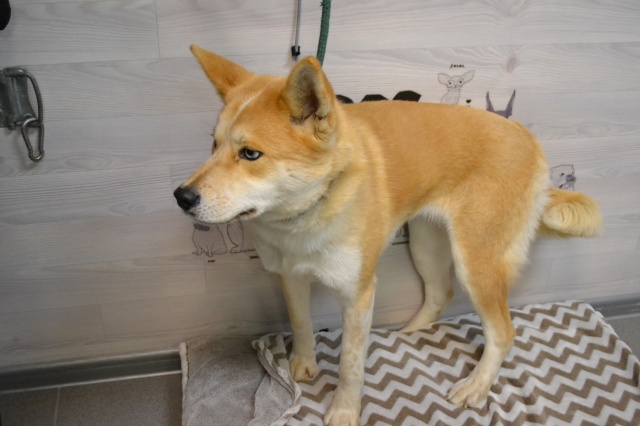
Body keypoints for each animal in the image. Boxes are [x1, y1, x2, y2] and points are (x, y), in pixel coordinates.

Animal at [174, 46, 602, 425]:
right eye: (213, 144)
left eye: (250, 154)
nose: (181, 196)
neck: (304, 219)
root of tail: (529, 139)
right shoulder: (290, 275)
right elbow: (300, 323)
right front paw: (302, 364)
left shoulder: (359, 295)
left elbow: (351, 364)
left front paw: (344, 412)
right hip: (427, 245)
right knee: (440, 295)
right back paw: (408, 334)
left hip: (476, 264)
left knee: (503, 333)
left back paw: (476, 386)